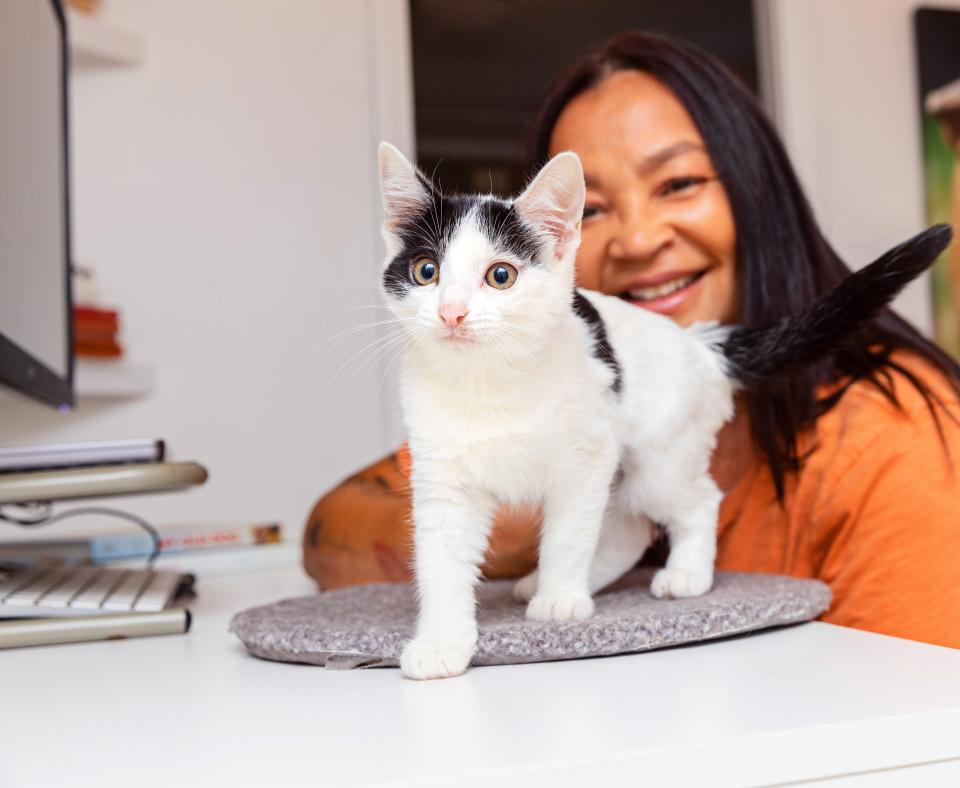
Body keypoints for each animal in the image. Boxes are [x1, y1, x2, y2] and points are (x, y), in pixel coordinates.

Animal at [376, 140, 952, 676]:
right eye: (426, 272)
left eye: (500, 276)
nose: (451, 314)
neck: (489, 383)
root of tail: (699, 343)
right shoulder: (443, 478)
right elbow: (442, 561)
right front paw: (442, 642)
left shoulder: (585, 459)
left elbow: (568, 533)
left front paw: (560, 598)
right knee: (626, 529)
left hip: (657, 456)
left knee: (695, 502)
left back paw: (681, 575)